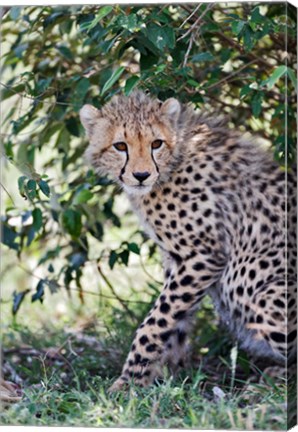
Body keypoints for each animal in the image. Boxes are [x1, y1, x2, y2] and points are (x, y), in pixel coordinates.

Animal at [80, 90, 296, 392]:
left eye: (156, 143)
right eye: (120, 146)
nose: (141, 176)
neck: (174, 160)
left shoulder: (203, 256)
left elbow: (155, 321)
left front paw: (129, 381)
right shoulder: (178, 260)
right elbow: (174, 319)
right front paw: (167, 375)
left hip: (254, 287)